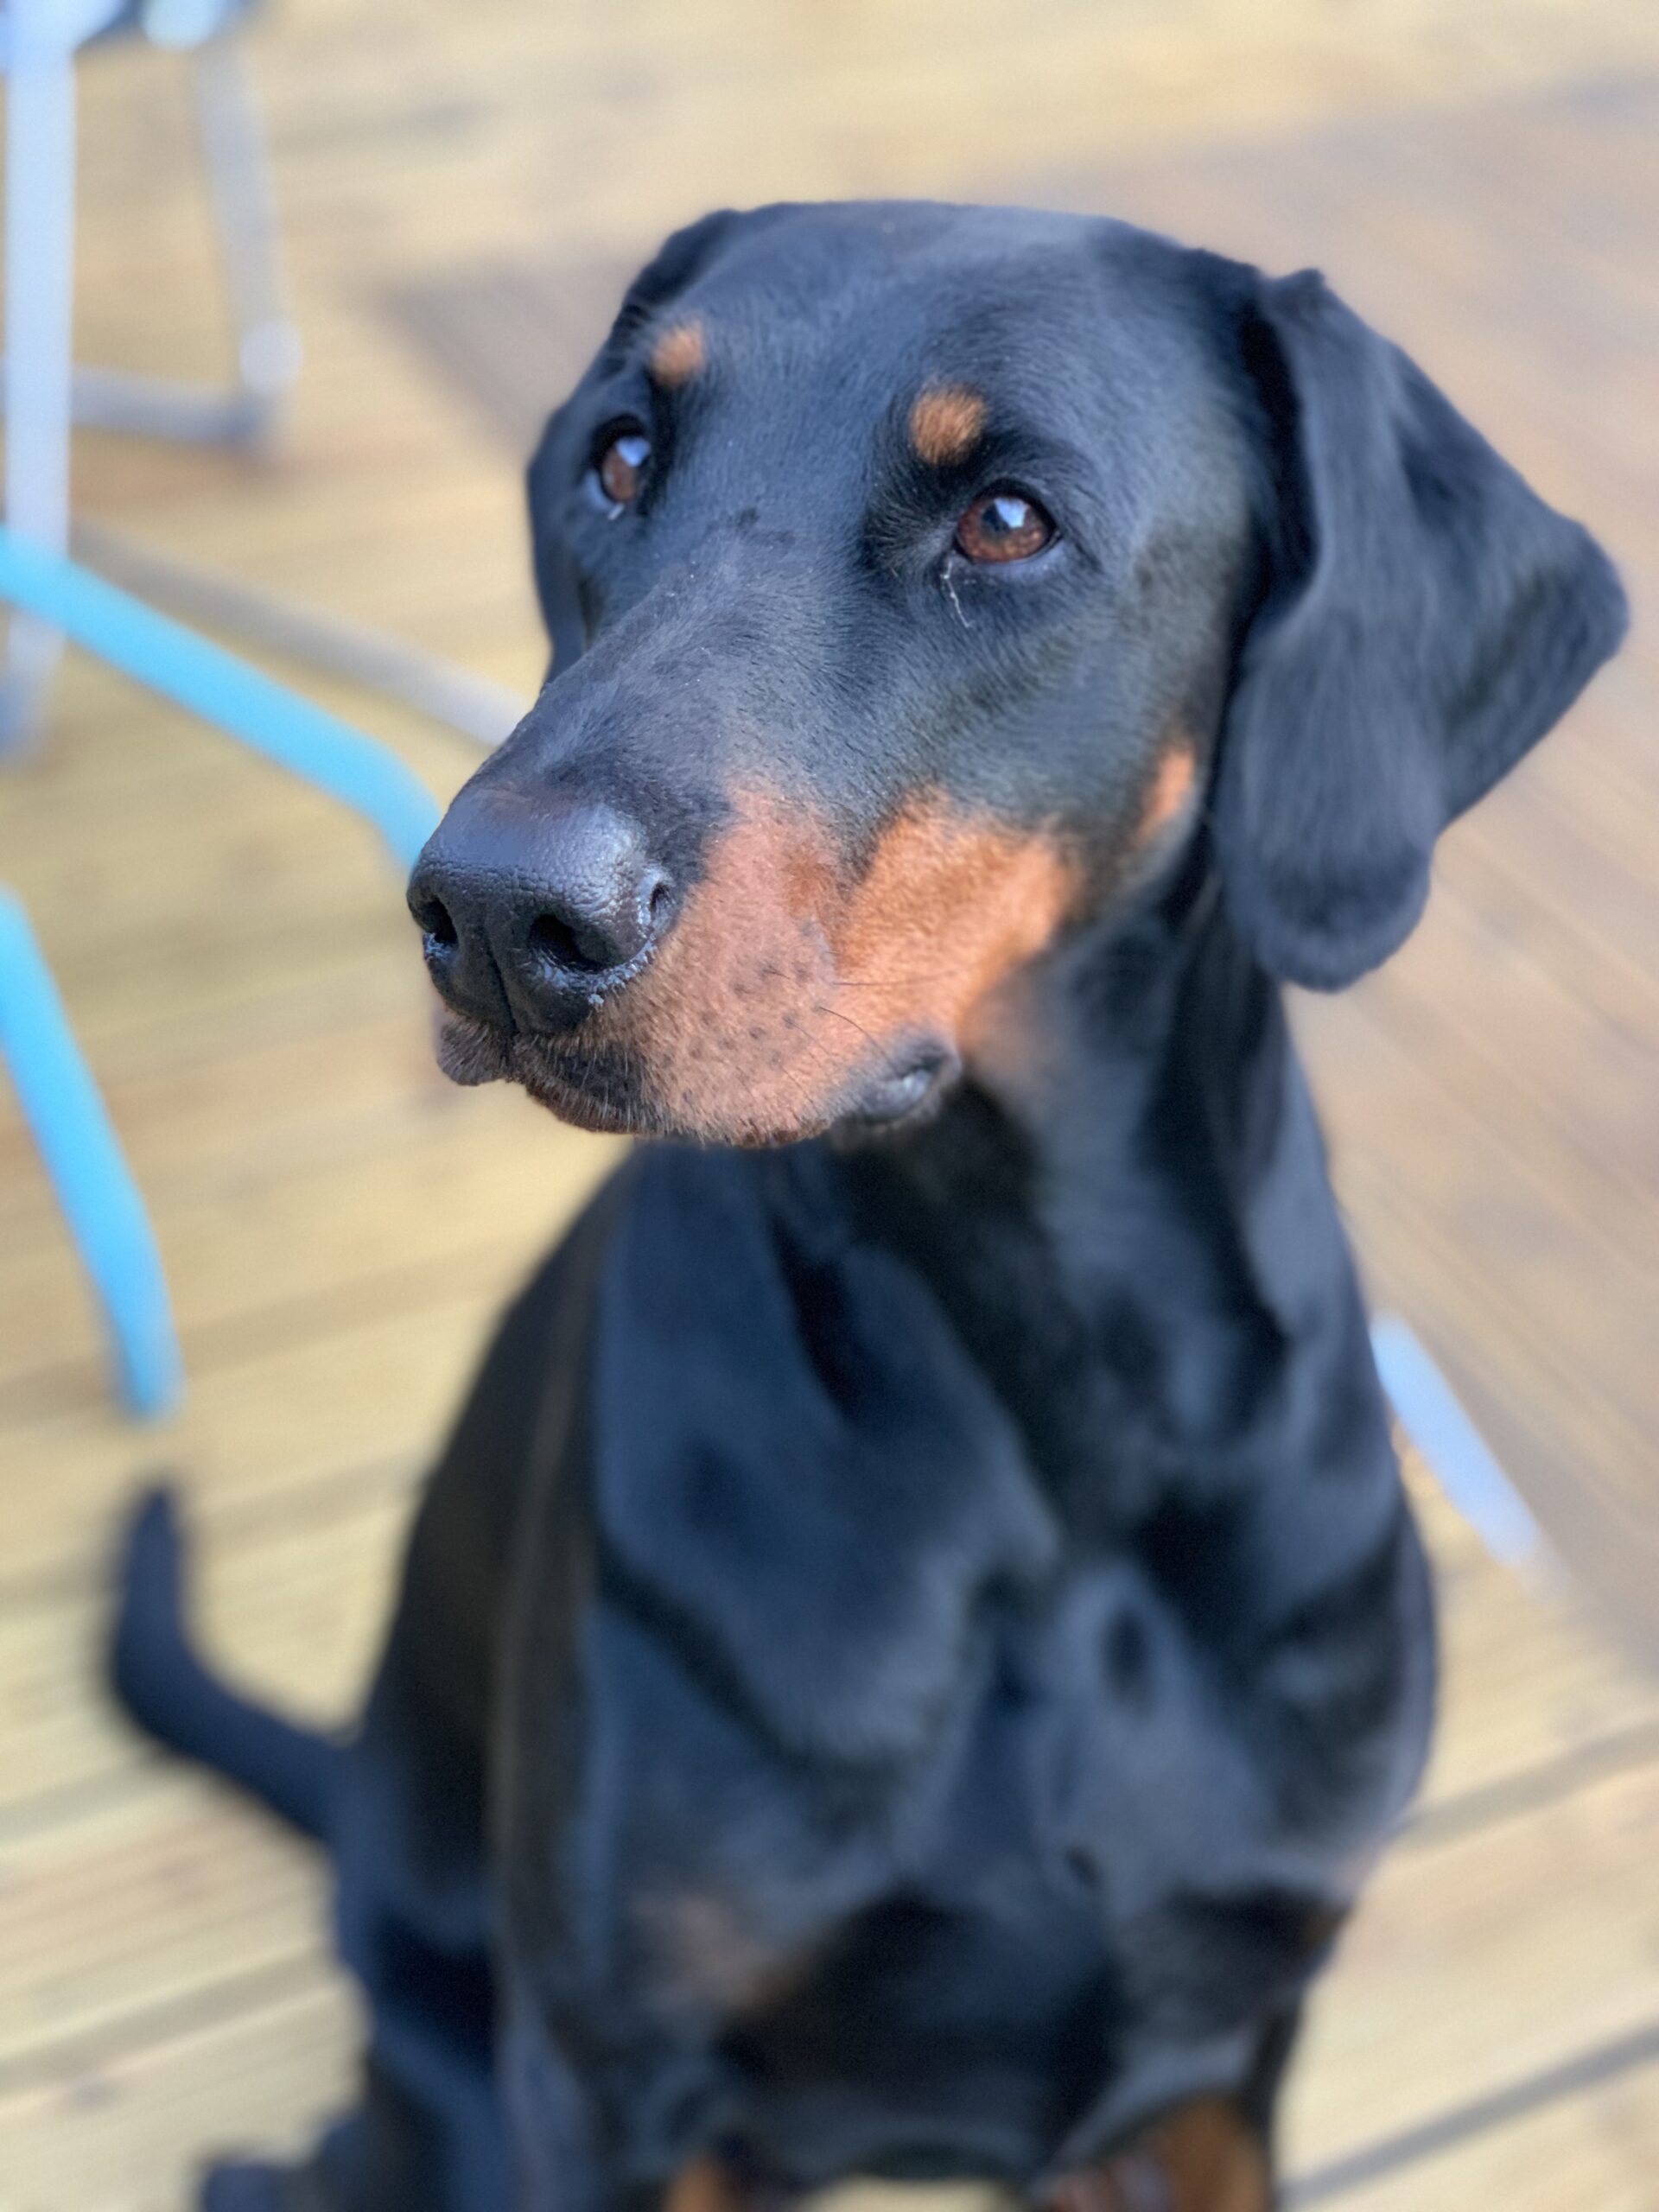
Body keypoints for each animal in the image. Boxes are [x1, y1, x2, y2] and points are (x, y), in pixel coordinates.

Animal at [112, 200, 1626, 2212]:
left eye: (1006, 518)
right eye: (622, 457)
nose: (498, 910)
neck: (1051, 1419)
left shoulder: (1220, 2058)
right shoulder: (610, 2077)